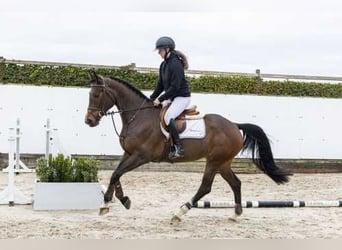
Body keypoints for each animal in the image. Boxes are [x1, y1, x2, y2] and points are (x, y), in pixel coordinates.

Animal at [85, 71, 292, 223]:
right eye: (90, 95)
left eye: (96, 95)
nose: (89, 121)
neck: (137, 116)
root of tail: (234, 125)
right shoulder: (128, 153)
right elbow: (116, 175)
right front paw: (120, 200)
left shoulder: (141, 156)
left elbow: (116, 174)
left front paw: (107, 203)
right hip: (223, 163)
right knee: (236, 183)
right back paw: (235, 214)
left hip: (214, 161)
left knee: (205, 187)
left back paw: (179, 213)